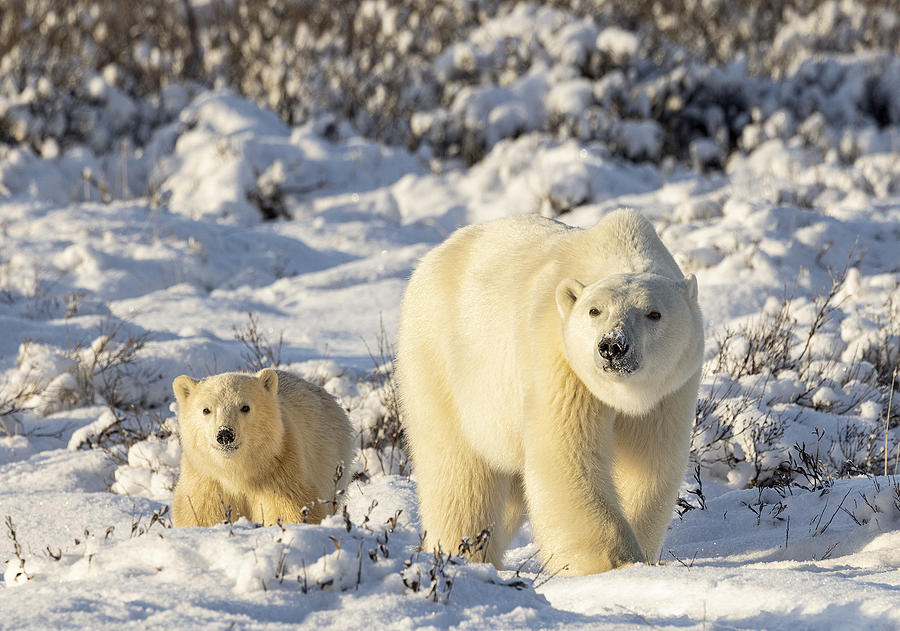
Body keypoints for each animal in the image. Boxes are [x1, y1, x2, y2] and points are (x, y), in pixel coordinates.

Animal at [400, 210, 704, 576]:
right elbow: (567, 456)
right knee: (458, 472)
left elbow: (648, 464)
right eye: (594, 310)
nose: (612, 346)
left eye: (654, 313)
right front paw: (615, 563)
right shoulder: (559, 360)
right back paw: (462, 554)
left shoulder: (670, 390)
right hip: (441, 360)